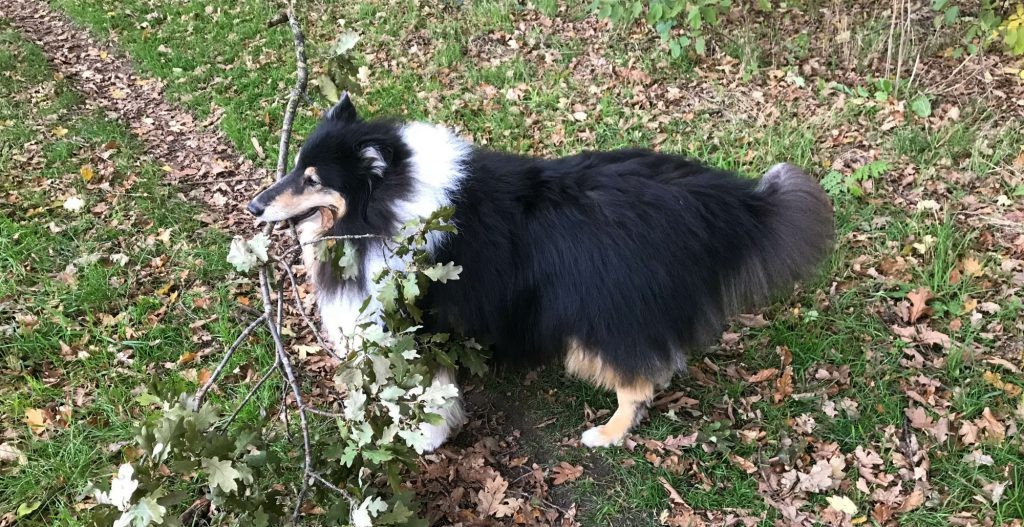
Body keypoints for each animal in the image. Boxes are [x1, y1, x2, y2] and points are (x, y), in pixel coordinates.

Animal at [247, 92, 831, 452]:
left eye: (313, 178)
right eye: (296, 167)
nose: (254, 207)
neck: (389, 207)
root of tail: (714, 199)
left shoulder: (426, 324)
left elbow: (431, 391)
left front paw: (428, 437)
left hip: (602, 318)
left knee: (639, 382)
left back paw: (607, 434)